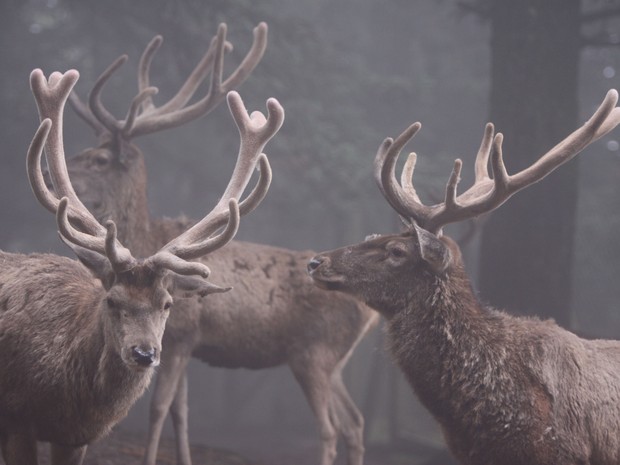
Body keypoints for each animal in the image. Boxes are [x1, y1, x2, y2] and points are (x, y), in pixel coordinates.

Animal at [49, 23, 378, 464]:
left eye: (100, 160)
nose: (54, 176)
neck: (147, 237)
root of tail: (370, 310)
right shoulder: (183, 342)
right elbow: (181, 411)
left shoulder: (182, 335)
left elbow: (158, 408)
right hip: (335, 361)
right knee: (355, 422)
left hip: (315, 354)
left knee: (330, 428)